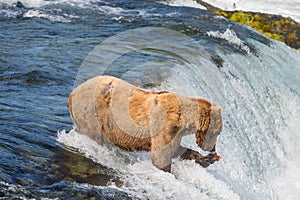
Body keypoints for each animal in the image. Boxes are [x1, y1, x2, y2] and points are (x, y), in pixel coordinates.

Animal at [68, 75, 223, 172]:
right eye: (217, 132)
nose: (213, 148)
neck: (184, 120)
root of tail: (71, 94)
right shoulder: (165, 124)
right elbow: (160, 156)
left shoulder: (175, 132)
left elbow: (175, 149)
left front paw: (205, 159)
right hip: (93, 112)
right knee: (92, 134)